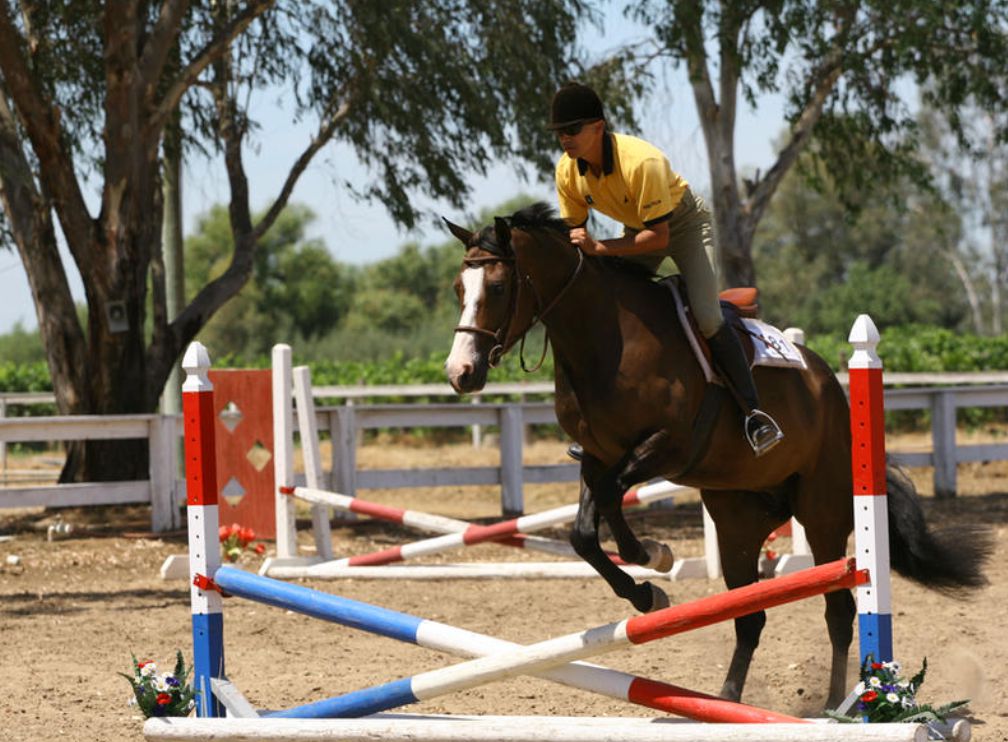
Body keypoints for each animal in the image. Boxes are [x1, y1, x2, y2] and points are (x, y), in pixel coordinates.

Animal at [443, 201, 991, 705]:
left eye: (497, 288)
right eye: (457, 290)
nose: (460, 374)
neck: (602, 340)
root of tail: (829, 385)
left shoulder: (666, 444)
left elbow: (612, 495)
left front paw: (653, 557)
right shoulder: (597, 453)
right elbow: (584, 530)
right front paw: (647, 587)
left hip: (823, 513)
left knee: (839, 607)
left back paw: (837, 704)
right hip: (738, 522)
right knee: (750, 616)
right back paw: (727, 697)